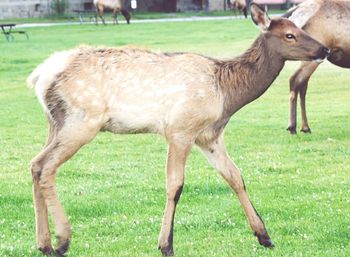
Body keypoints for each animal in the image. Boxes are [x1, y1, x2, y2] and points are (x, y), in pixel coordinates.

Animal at [27, 4, 328, 256]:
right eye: (290, 35)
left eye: (300, 28)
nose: (324, 49)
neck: (226, 95)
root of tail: (40, 76)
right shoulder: (181, 129)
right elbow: (175, 185)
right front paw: (166, 244)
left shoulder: (209, 137)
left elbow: (235, 177)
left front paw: (264, 236)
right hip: (82, 120)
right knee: (46, 166)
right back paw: (62, 239)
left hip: (55, 123)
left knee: (35, 164)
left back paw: (44, 243)